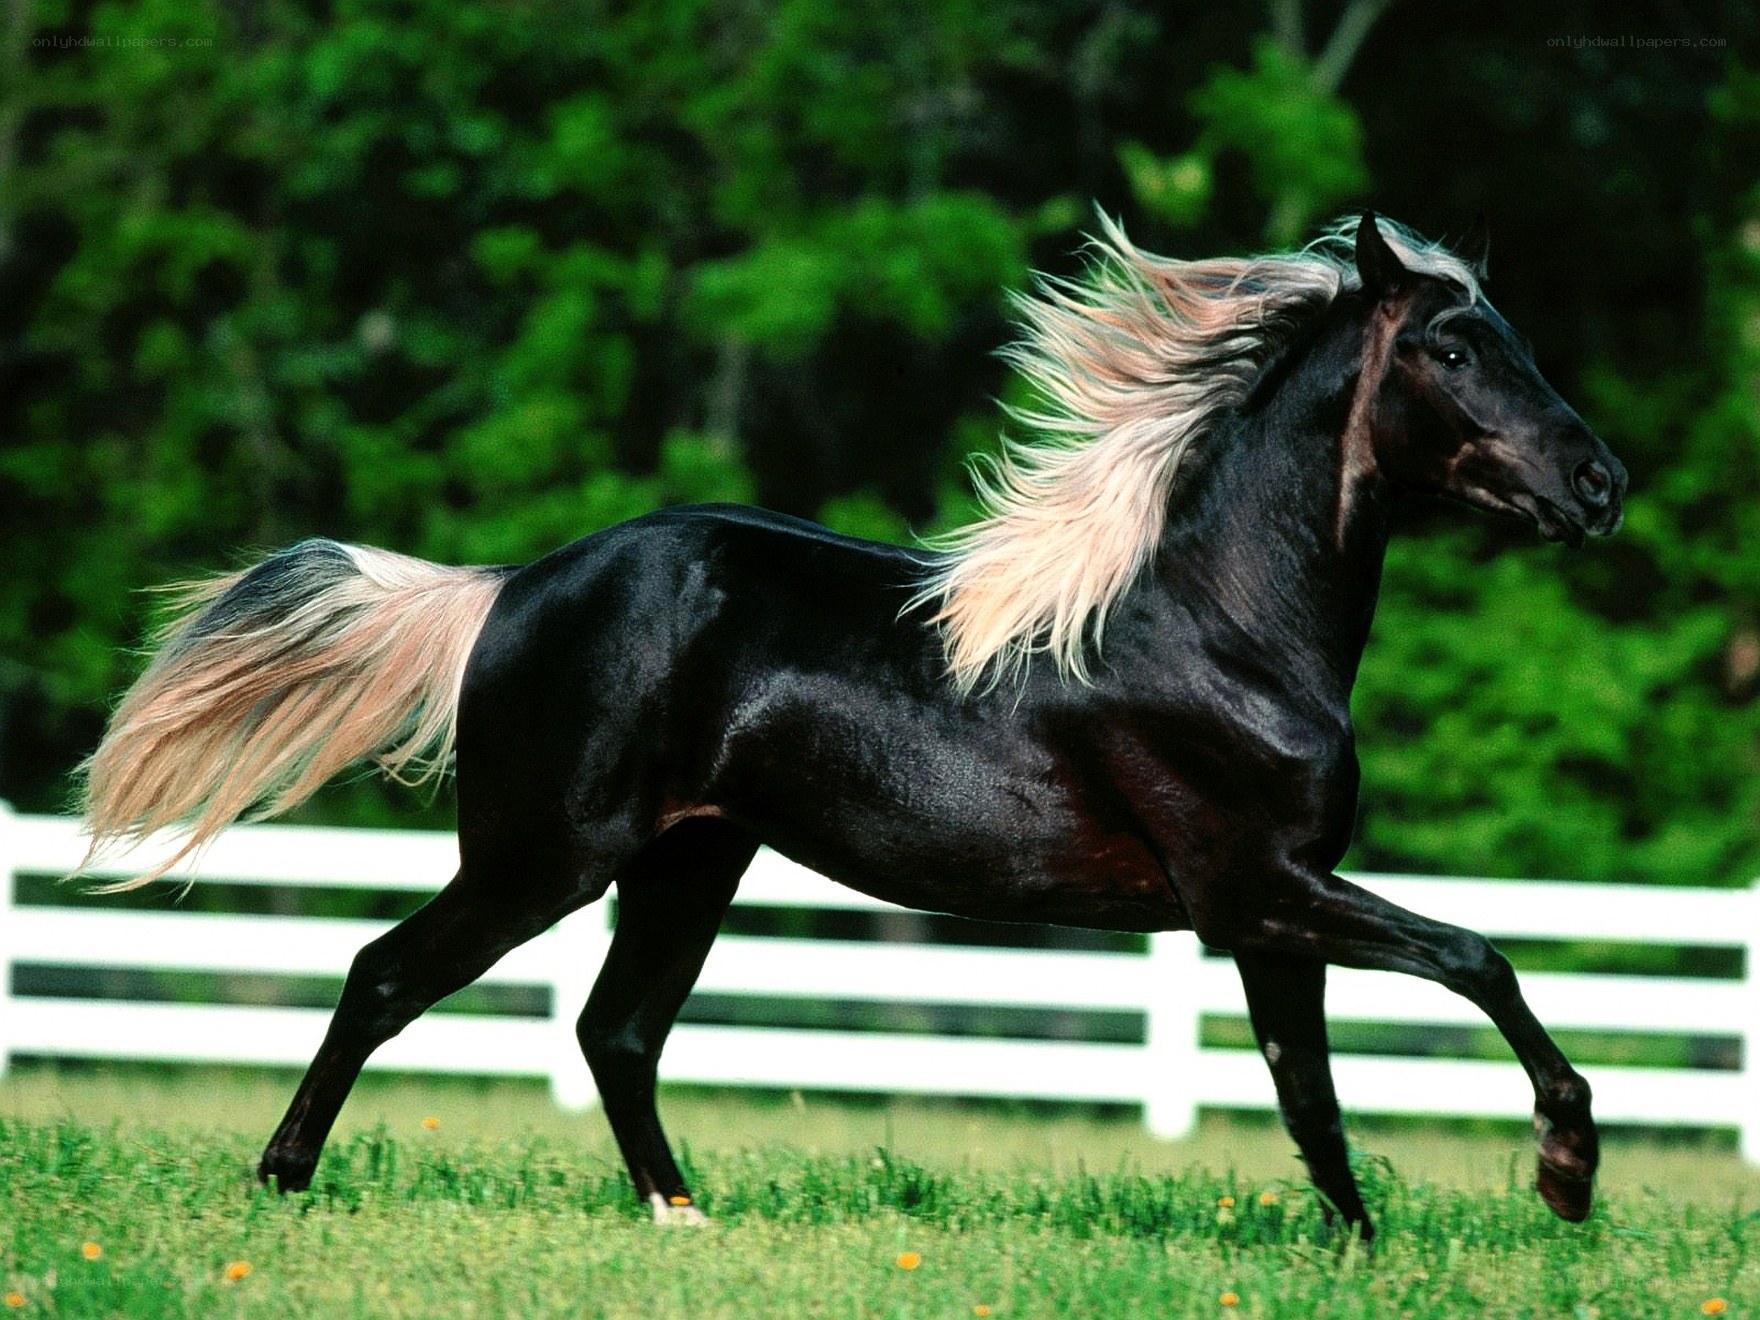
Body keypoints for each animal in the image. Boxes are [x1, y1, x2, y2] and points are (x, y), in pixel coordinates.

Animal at [79, 212, 1626, 1241]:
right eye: (1452, 344)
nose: (1600, 486)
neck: (1221, 625)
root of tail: (511, 586)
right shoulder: (1257, 887)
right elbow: (1477, 960)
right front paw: (1565, 1174)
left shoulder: (1267, 908)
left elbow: (1309, 1093)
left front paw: (1358, 1250)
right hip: (543, 858)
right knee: (387, 975)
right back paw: (281, 1185)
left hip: (688, 862)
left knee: (613, 1031)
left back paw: (683, 1217)